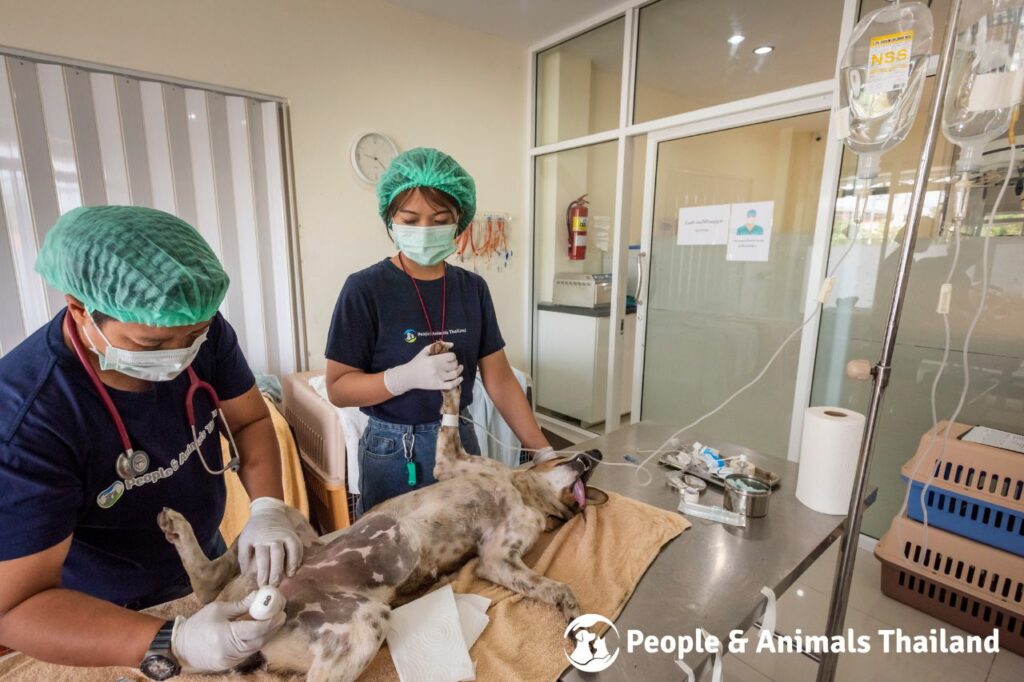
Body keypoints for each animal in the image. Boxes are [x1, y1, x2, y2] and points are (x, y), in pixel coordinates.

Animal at [156, 339, 602, 679]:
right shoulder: (454, 466)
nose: (596, 453)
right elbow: (450, 411)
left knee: (211, 589)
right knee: (220, 572)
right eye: (580, 466)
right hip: (286, 532)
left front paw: (575, 616)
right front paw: (443, 371)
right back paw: (180, 532)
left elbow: (557, 587)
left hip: (361, 624)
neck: (521, 491)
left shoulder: (497, 559)